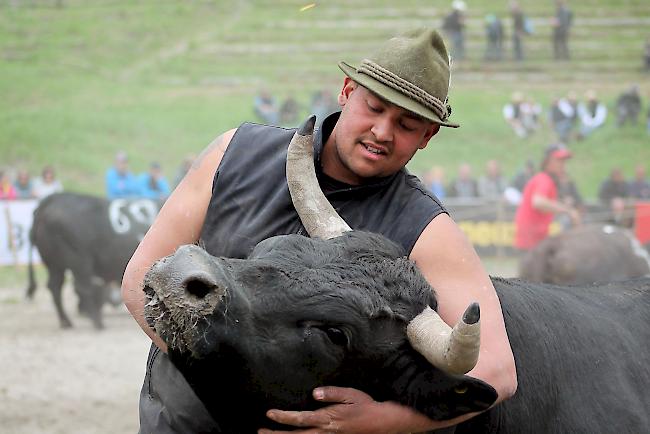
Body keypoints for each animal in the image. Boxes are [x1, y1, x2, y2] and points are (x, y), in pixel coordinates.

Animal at [27, 192, 159, 328]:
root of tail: (54, 198)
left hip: (55, 265)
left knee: (55, 287)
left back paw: (67, 321)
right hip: (79, 261)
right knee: (82, 287)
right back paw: (97, 321)